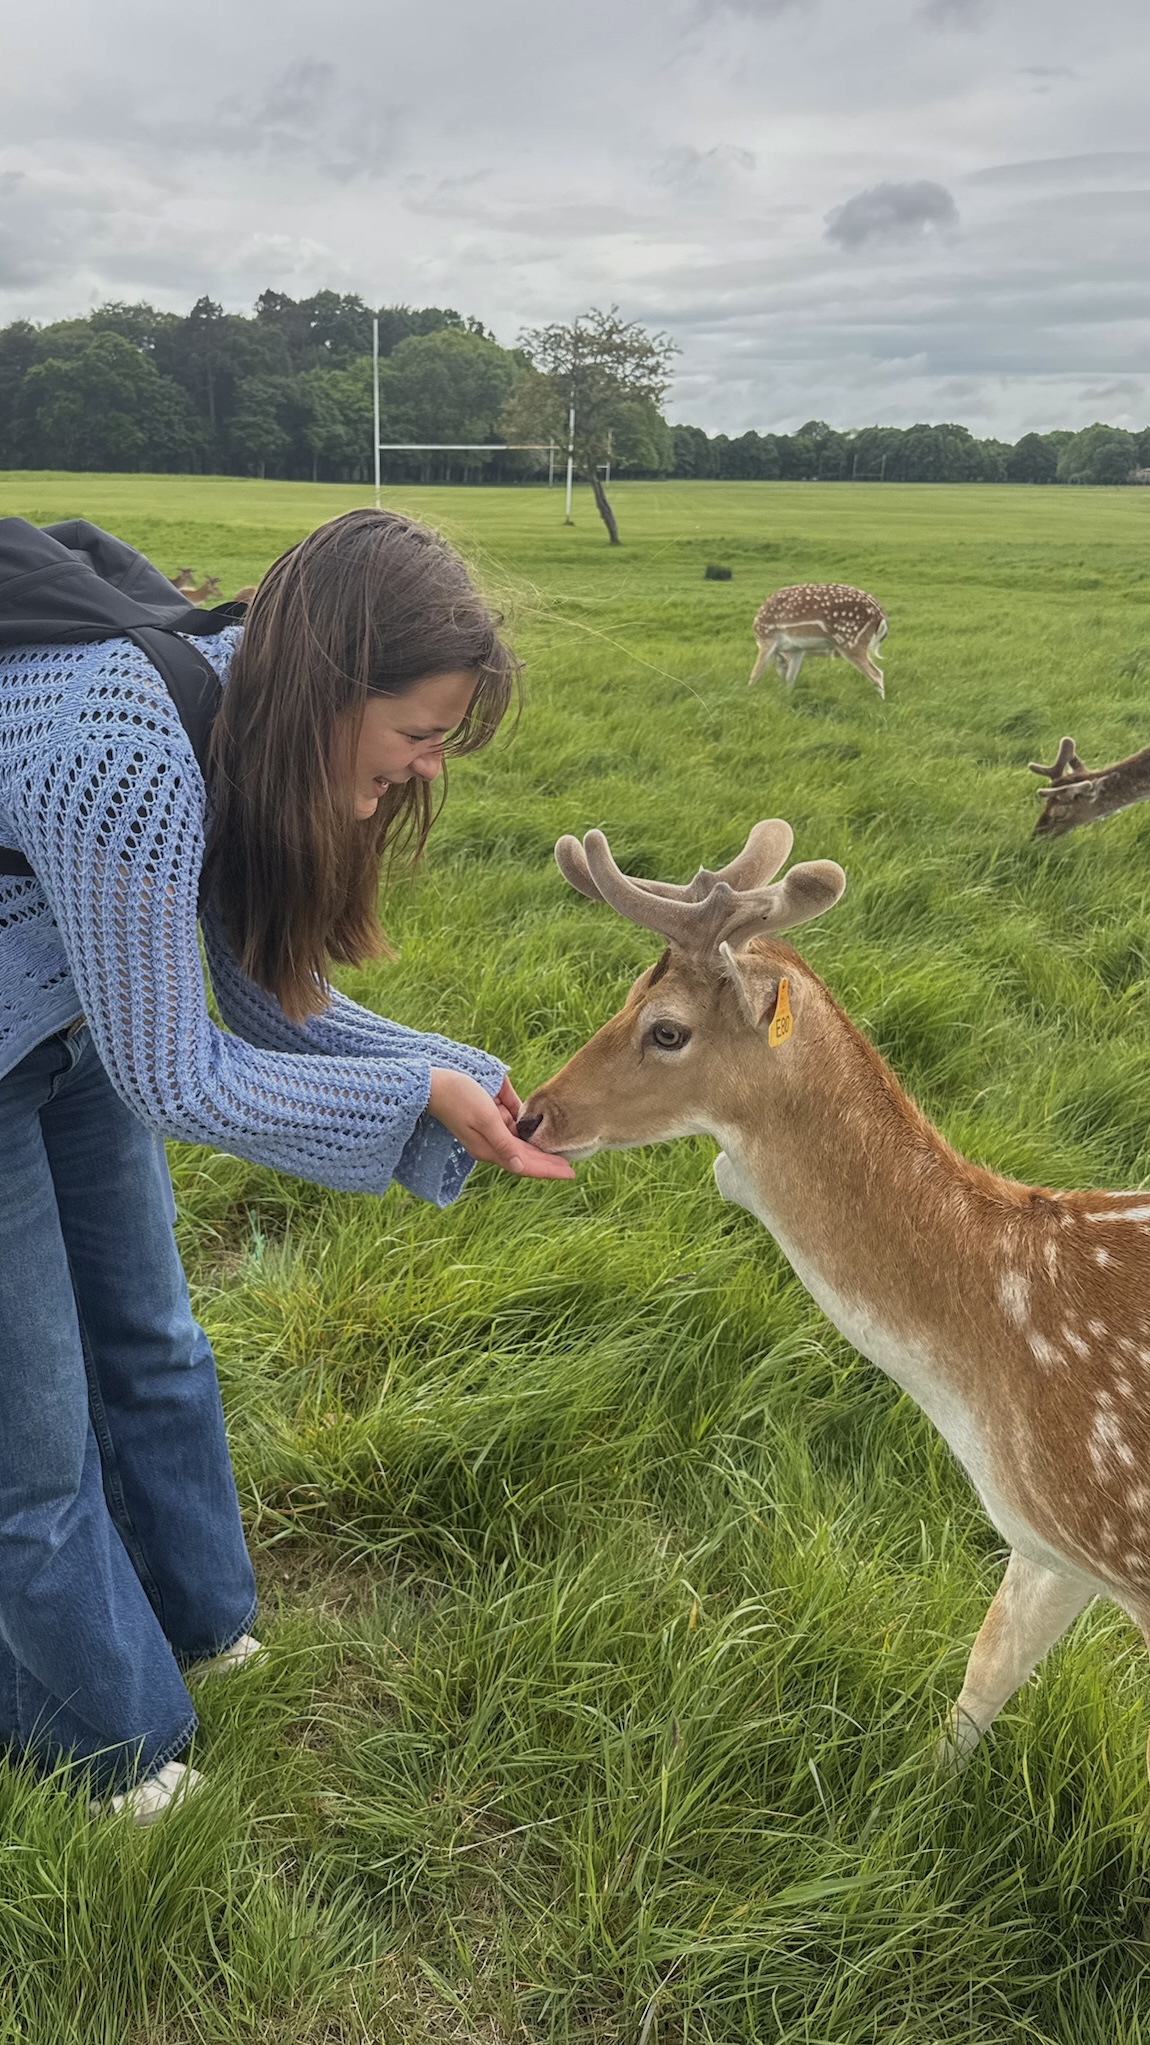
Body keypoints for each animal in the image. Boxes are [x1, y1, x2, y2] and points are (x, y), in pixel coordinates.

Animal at [517, 820, 1150, 1781]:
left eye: (667, 1029)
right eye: (627, 993)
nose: (532, 1114)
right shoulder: (1055, 1541)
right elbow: (986, 1671)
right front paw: (914, 1793)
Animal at [749, 584, 887, 696]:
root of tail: (881, 615)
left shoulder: (767, 639)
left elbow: (755, 673)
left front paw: (748, 693)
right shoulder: (797, 649)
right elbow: (791, 678)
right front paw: (788, 695)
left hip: (851, 642)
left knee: (877, 674)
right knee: (878, 672)